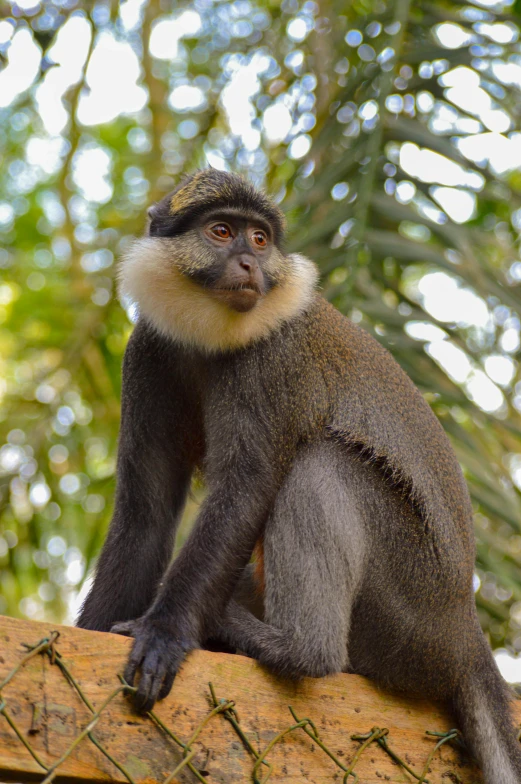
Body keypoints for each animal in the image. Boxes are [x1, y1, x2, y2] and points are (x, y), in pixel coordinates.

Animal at [76, 168, 520, 780]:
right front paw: (90, 634)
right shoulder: (148, 353)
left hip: (408, 608)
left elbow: (246, 489)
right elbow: (146, 510)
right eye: (221, 231)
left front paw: (165, 634)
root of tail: (464, 632)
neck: (210, 336)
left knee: (324, 465)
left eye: (260, 239)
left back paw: (291, 647)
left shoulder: (269, 362)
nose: (249, 264)